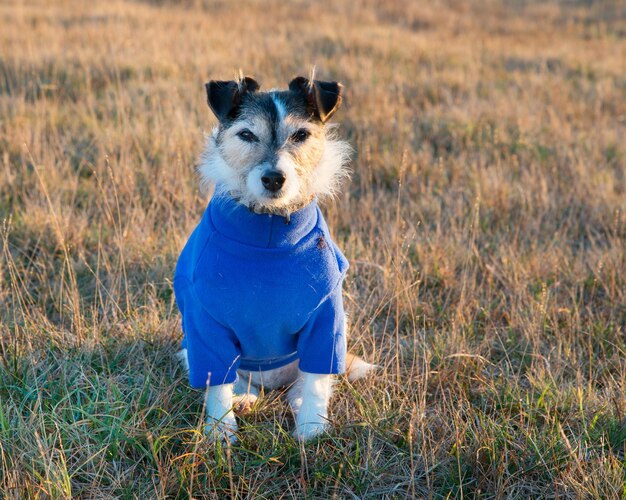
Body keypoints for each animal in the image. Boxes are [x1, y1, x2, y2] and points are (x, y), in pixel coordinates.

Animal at [173, 73, 372, 442]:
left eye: (301, 135)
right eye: (247, 135)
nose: (274, 178)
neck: (268, 230)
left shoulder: (327, 319)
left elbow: (317, 381)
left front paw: (311, 429)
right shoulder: (204, 323)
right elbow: (216, 384)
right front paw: (221, 431)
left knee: (304, 382)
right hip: (192, 350)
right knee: (236, 380)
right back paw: (244, 399)